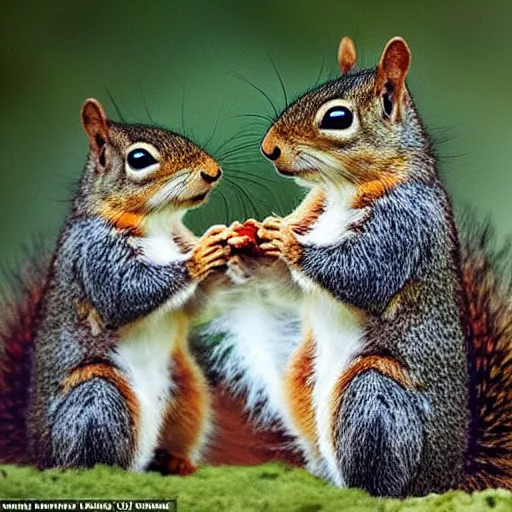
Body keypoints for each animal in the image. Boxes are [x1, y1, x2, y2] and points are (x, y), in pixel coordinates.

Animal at [0, 98, 234, 474]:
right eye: (139, 159)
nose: (212, 172)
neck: (155, 223)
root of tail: (38, 455)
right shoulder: (94, 252)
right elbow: (124, 294)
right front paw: (199, 257)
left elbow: (195, 305)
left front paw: (230, 238)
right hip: (98, 395)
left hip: (187, 390)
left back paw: (173, 461)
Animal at [203, 36, 512, 496]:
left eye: (337, 117)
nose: (269, 148)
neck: (340, 190)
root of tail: (447, 481)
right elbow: (290, 286)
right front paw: (247, 239)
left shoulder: (405, 225)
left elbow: (364, 276)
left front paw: (288, 242)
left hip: (374, 393)